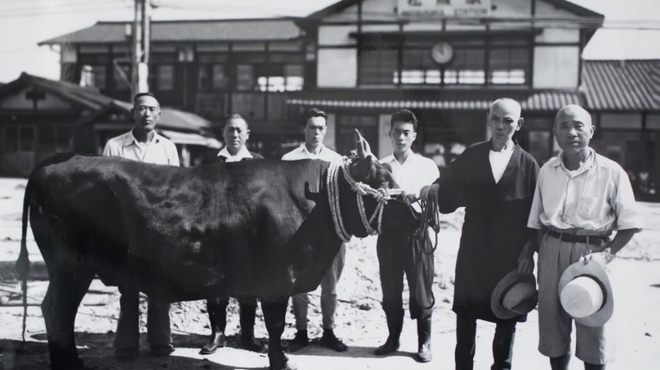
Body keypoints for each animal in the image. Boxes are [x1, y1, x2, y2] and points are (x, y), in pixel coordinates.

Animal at [16, 139, 412, 370]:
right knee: (56, 309)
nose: (416, 207)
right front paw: (281, 361)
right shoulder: (278, 279)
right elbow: (276, 325)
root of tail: (55, 163)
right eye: (383, 182)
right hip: (70, 266)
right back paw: (70, 363)